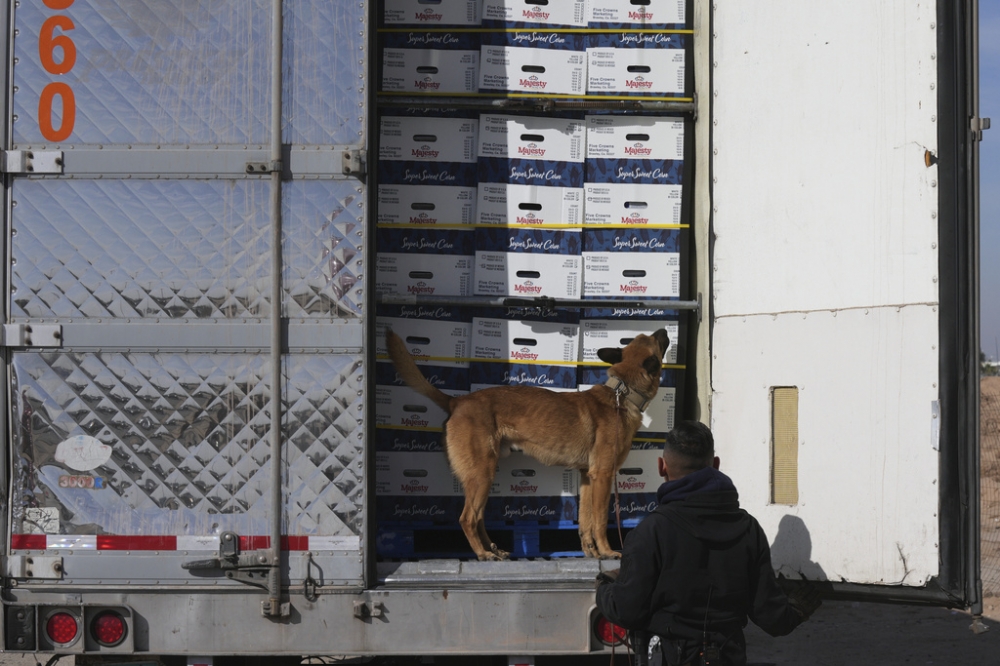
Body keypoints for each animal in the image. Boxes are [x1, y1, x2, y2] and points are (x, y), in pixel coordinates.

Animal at [384, 328, 672, 560]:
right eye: (656, 339)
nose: (663, 328)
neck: (622, 394)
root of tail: (457, 401)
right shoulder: (603, 476)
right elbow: (600, 519)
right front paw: (607, 552)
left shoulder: (588, 478)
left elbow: (585, 521)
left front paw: (591, 552)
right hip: (481, 473)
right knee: (467, 518)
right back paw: (482, 554)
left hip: (483, 475)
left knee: (478, 517)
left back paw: (494, 549)